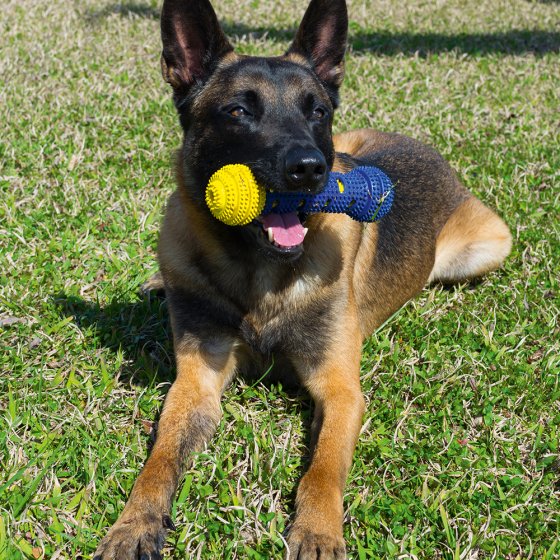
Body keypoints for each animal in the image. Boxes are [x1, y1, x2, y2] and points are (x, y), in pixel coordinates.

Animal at [94, 0, 516, 556]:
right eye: (239, 111)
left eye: (317, 111)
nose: (310, 169)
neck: (258, 273)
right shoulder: (196, 380)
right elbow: (160, 459)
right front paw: (135, 523)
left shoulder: (339, 388)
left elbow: (323, 469)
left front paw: (317, 530)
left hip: (485, 246)